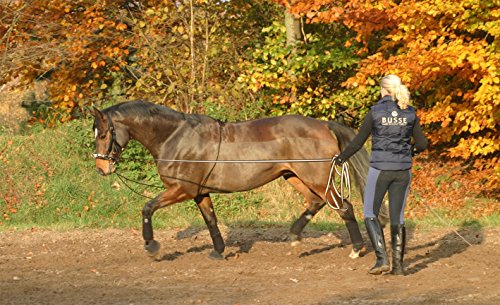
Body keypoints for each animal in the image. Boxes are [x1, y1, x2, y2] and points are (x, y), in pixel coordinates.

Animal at [91, 100, 372, 258]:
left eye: (103, 133)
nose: (101, 167)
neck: (175, 137)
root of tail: (324, 125)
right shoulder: (200, 192)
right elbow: (211, 220)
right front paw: (218, 251)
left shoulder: (182, 189)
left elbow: (147, 207)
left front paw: (151, 245)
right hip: (294, 176)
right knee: (317, 203)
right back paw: (294, 235)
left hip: (316, 178)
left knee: (344, 207)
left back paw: (357, 249)